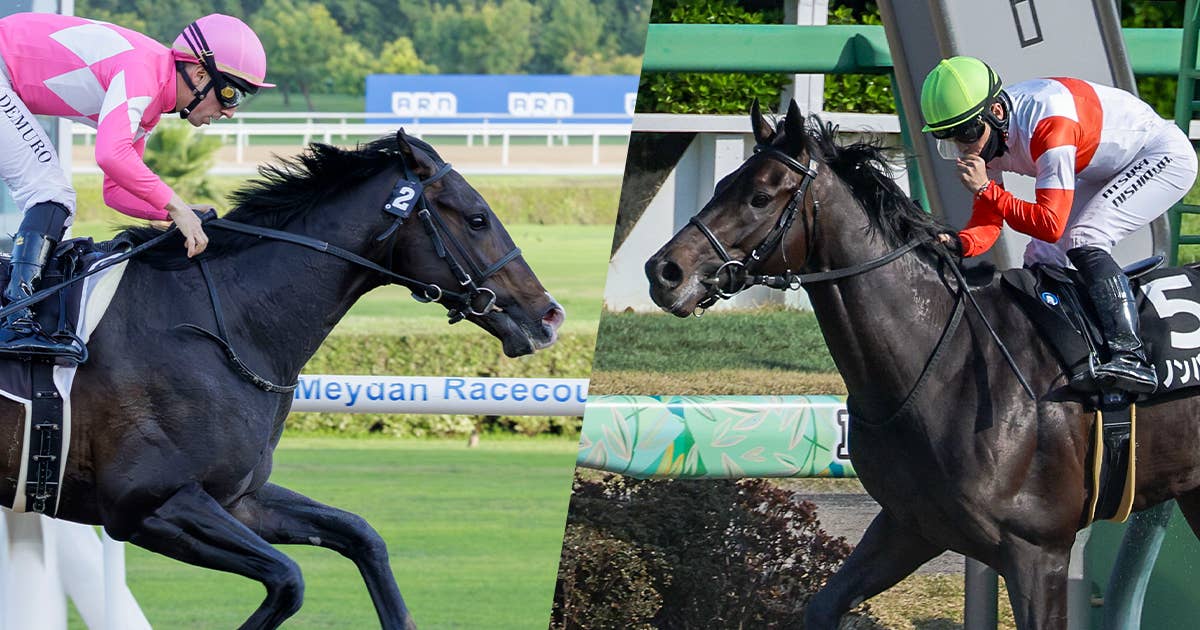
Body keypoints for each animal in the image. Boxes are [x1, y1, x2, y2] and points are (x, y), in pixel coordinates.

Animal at [0, 130, 564, 629]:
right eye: (477, 218)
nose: (550, 316)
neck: (219, 322)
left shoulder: (239, 498)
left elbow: (362, 536)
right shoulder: (148, 504)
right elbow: (290, 579)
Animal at [643, 99, 1200, 629]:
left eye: (759, 197)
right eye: (721, 185)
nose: (664, 271)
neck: (944, 361)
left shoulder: (1039, 550)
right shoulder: (909, 523)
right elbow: (822, 607)